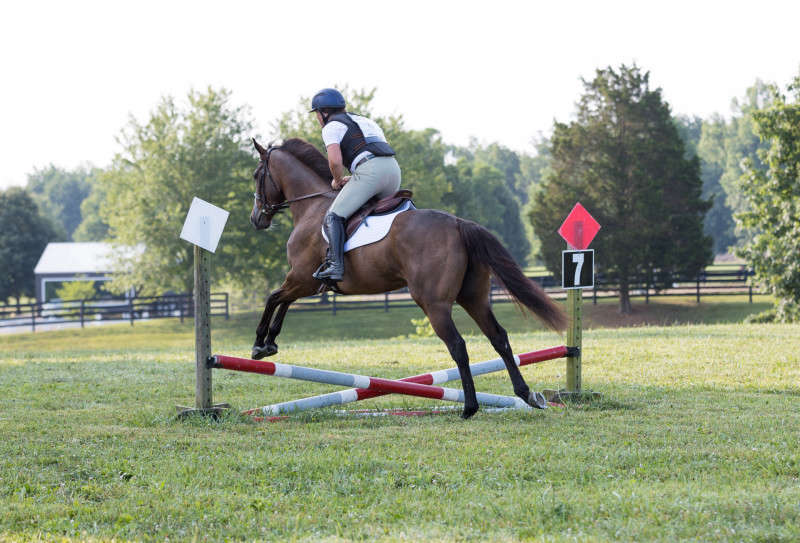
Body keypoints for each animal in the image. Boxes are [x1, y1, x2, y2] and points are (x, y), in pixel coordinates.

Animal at [250, 138, 568, 418]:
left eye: (256, 175)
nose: (256, 218)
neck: (312, 207)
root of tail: (458, 223)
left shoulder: (301, 278)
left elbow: (273, 298)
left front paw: (260, 345)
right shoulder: (307, 282)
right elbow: (284, 303)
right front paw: (271, 341)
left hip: (433, 303)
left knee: (458, 346)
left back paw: (470, 407)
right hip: (474, 297)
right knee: (499, 338)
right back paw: (526, 395)